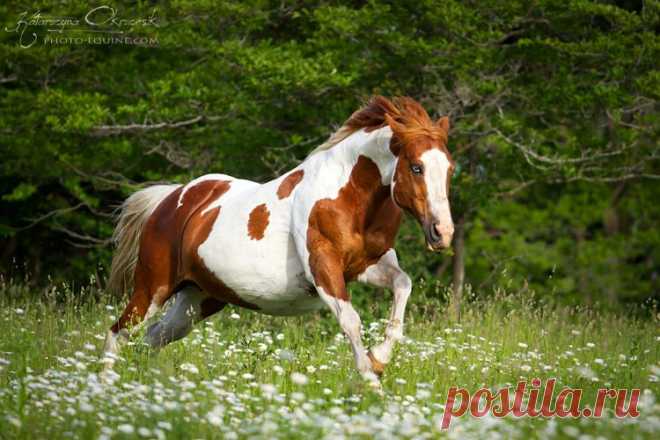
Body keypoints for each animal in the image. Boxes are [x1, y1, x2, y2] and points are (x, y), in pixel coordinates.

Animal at [103, 95, 454, 384]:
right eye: (416, 167)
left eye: (450, 168)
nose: (443, 232)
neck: (347, 197)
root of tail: (171, 199)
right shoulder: (324, 270)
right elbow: (352, 321)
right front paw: (372, 384)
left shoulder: (368, 265)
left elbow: (403, 284)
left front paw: (380, 358)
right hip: (153, 288)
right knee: (118, 333)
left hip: (197, 299)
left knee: (152, 338)